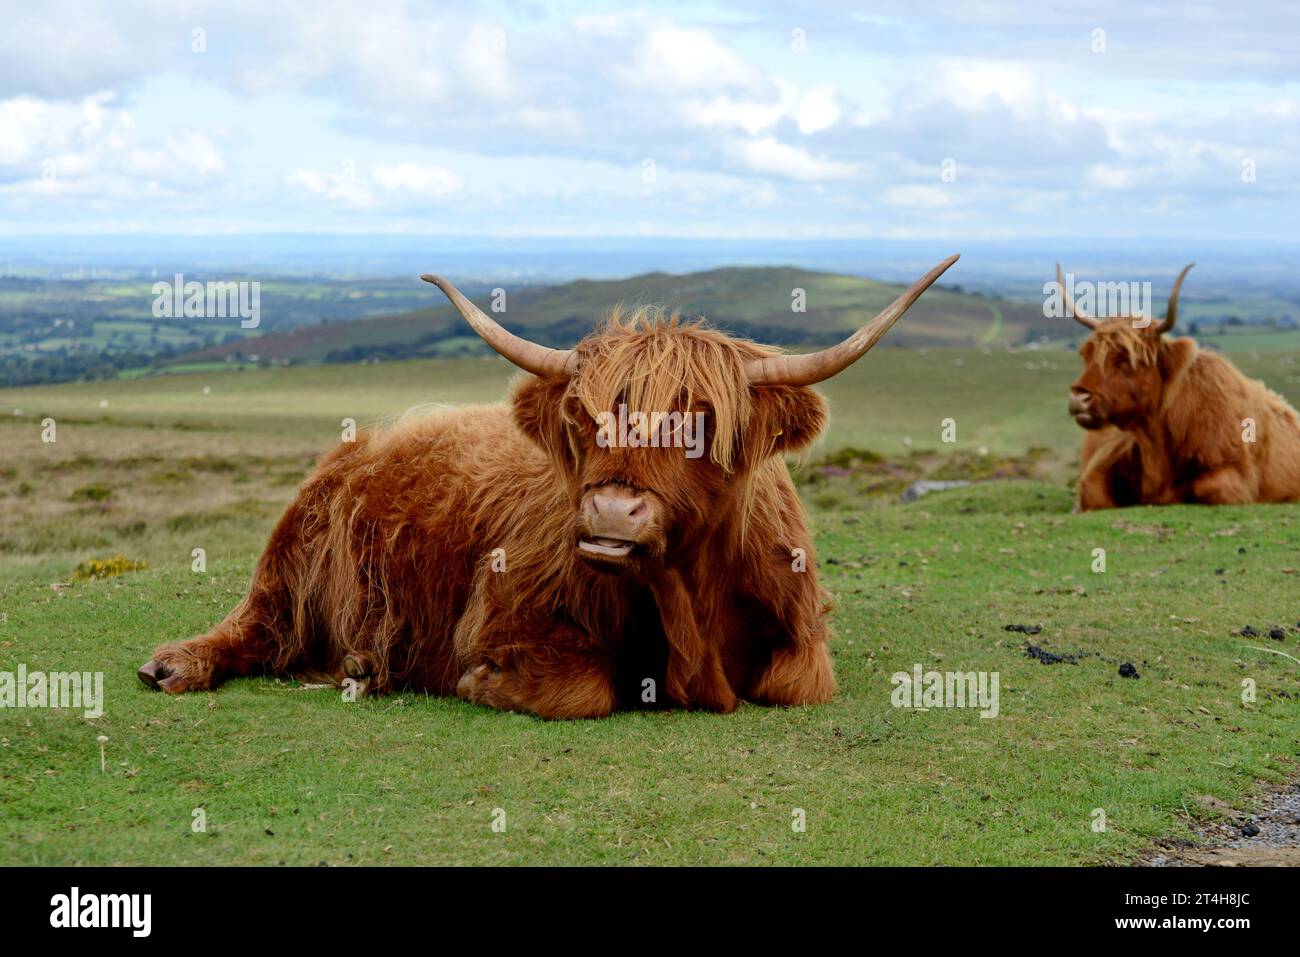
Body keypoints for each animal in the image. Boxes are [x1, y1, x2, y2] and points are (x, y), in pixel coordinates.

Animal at [138, 255, 960, 718]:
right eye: (586, 417)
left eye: (700, 421)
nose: (611, 508)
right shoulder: (504, 614)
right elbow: (583, 690)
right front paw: (481, 682)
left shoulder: (803, 636)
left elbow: (797, 682)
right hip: (293, 555)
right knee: (255, 624)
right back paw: (175, 664)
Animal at [1060, 263, 1300, 511]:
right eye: (1087, 355)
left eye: (1128, 359)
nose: (1078, 398)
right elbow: (1092, 492)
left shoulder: (1238, 475)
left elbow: (1213, 488)